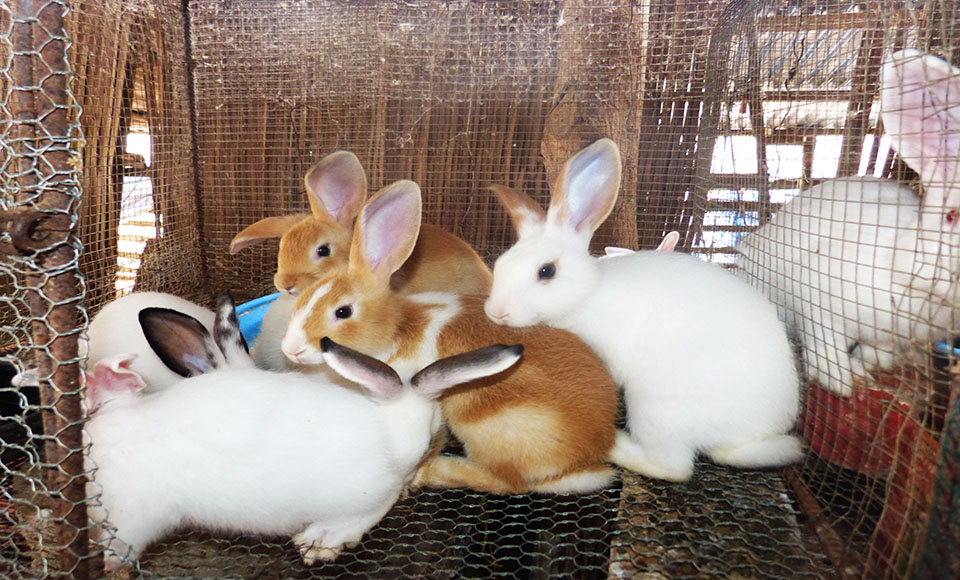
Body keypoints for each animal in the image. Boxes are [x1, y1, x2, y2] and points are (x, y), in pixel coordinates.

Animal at [83, 294, 520, 572]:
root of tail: (403, 410)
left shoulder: (131, 519)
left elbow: (120, 546)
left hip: (359, 491)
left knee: (381, 503)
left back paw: (325, 536)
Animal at [278, 180, 624, 494]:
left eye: (343, 312)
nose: (291, 349)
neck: (397, 331)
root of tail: (589, 457)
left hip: (485, 424)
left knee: (509, 483)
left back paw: (439, 471)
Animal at [736, 49, 960, 396]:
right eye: (951, 216)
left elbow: (881, 353)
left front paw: (871, 367)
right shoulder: (820, 300)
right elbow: (824, 344)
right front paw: (844, 380)